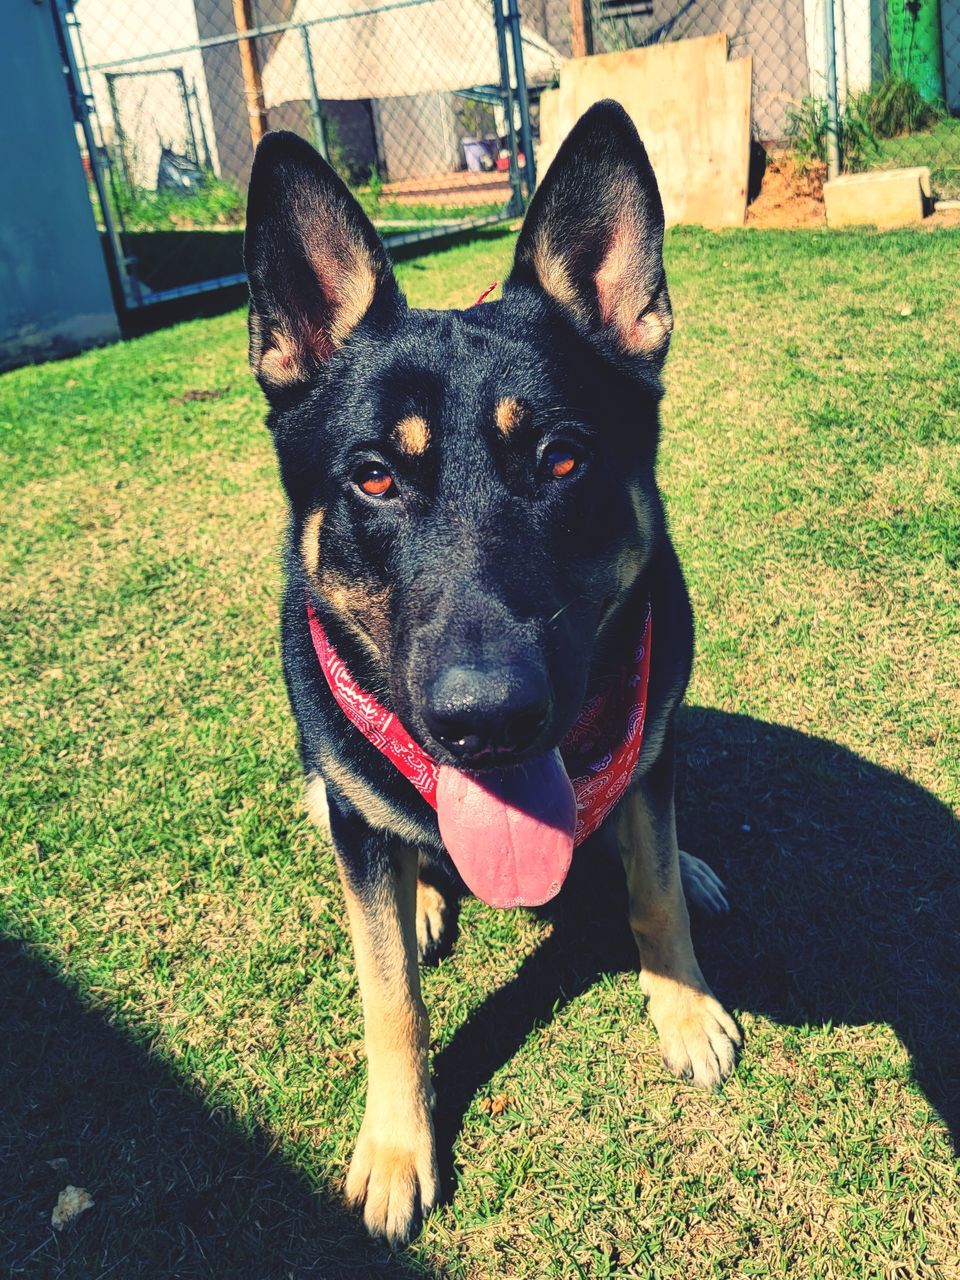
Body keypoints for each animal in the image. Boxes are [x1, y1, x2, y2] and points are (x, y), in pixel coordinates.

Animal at [244, 102, 742, 1249]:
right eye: (374, 477)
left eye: (562, 458)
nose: (489, 721)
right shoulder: (359, 810)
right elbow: (388, 995)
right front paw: (397, 1144)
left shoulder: (650, 738)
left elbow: (654, 883)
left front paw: (682, 1000)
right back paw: (424, 896)